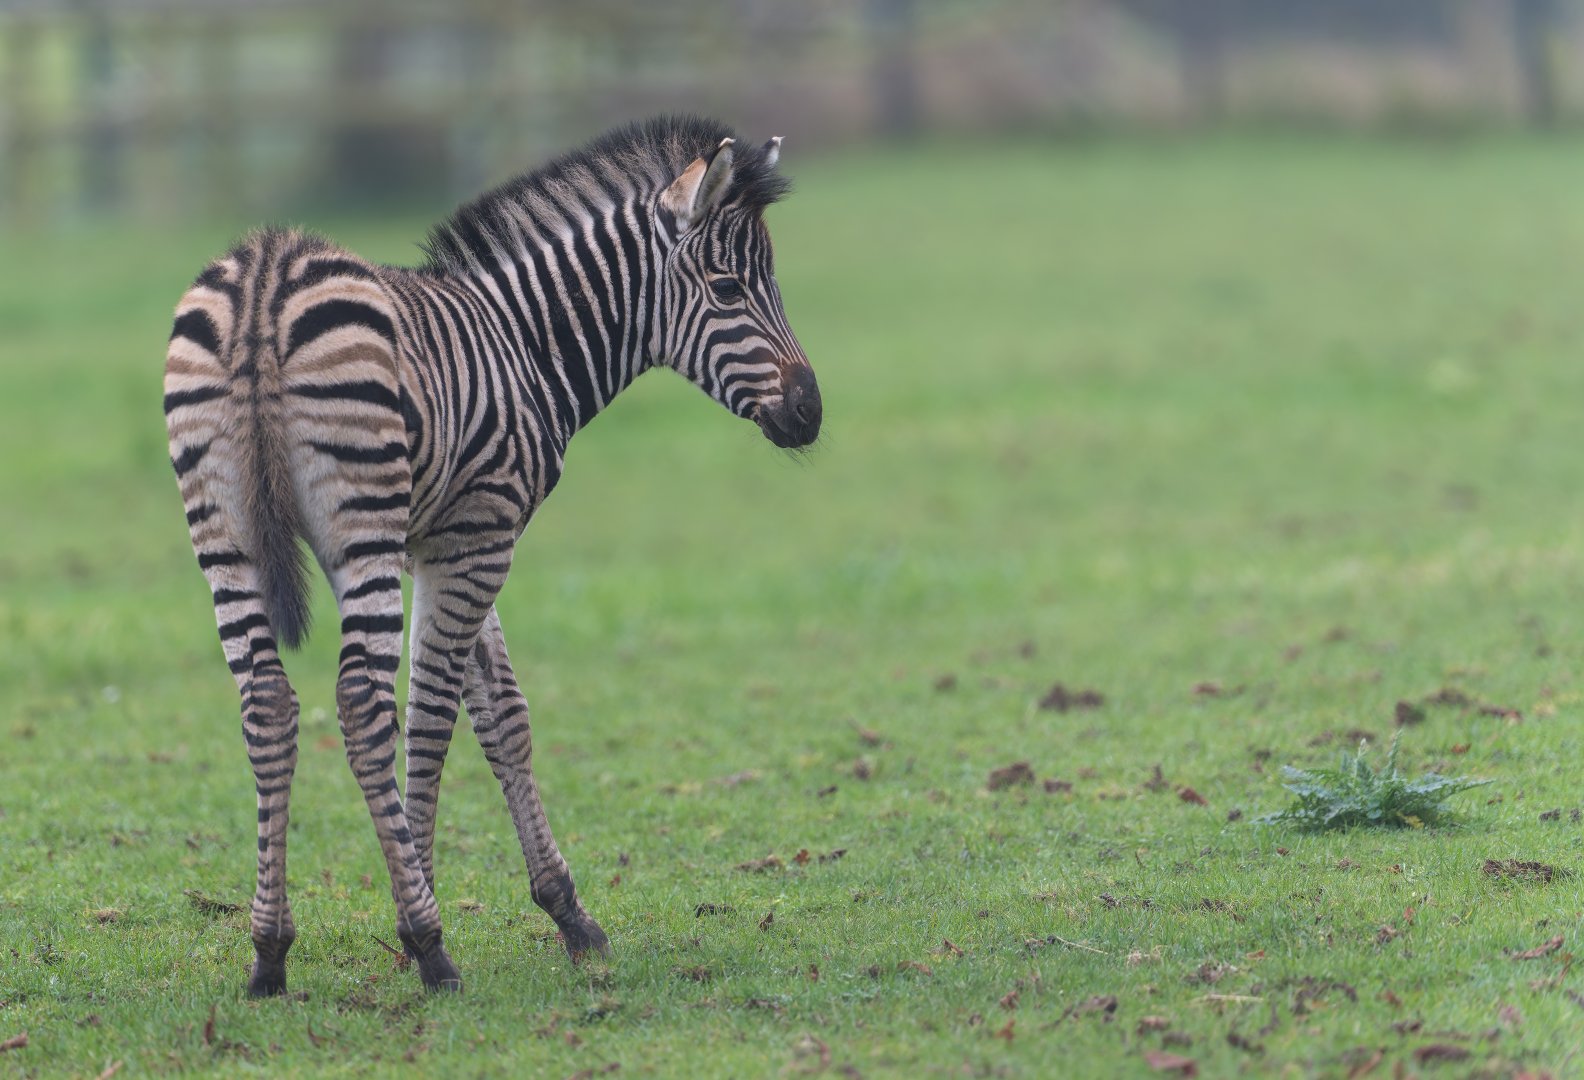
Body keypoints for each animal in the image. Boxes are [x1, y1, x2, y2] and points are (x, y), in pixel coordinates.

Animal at [162, 115, 821, 996]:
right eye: (726, 290)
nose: (811, 413)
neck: (525, 342)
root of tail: (266, 274)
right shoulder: (477, 537)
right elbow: (438, 716)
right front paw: (420, 919)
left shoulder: (439, 542)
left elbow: (502, 714)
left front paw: (567, 912)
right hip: (358, 519)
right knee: (363, 706)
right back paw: (429, 946)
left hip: (223, 529)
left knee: (266, 703)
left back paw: (269, 953)